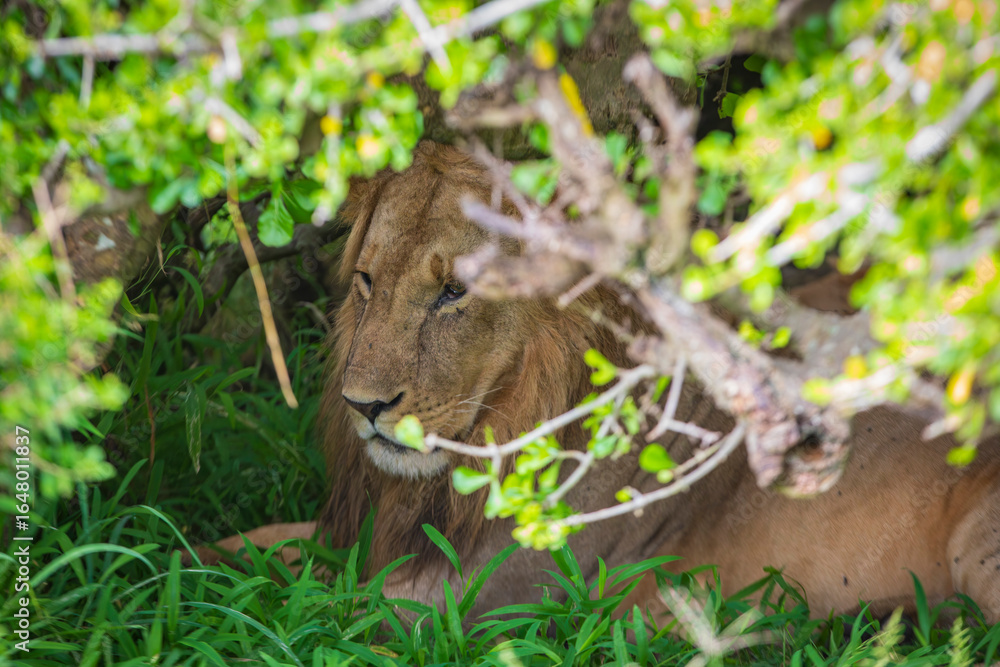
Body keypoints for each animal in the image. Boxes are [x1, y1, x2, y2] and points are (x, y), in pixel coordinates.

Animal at [208, 141, 1000, 624]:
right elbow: (243, 548)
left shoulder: (474, 600)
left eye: (453, 292)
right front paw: (177, 563)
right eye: (369, 280)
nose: (365, 406)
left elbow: (301, 604)